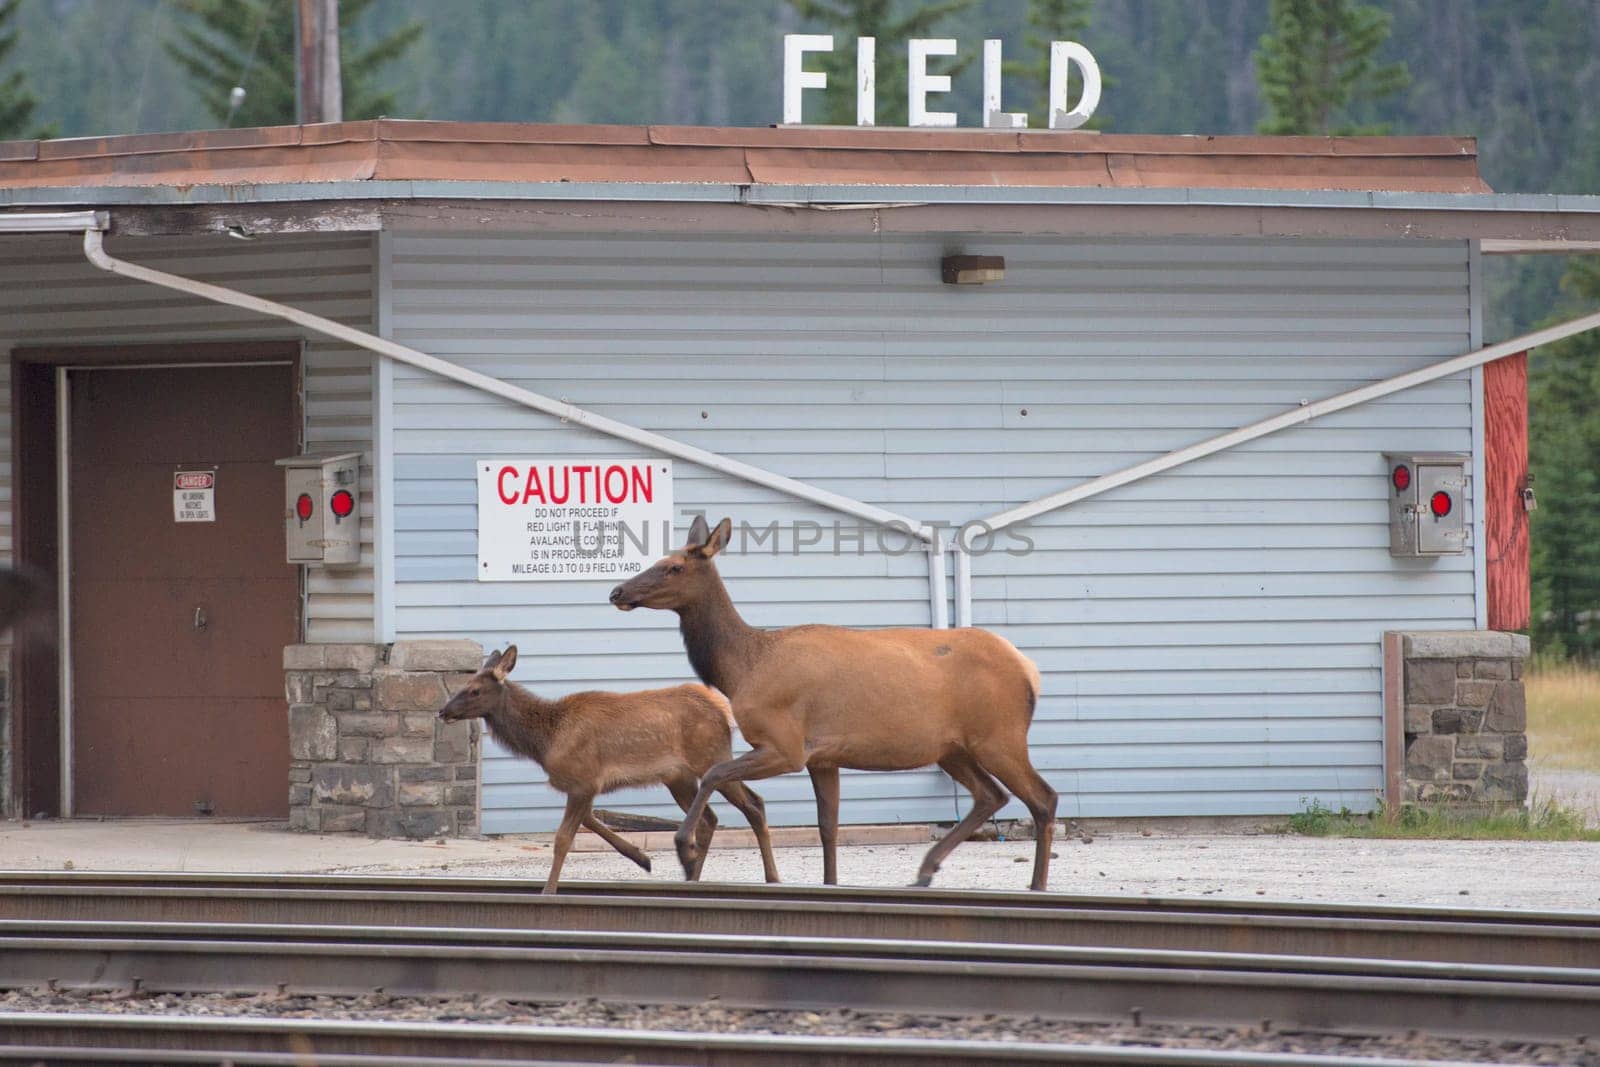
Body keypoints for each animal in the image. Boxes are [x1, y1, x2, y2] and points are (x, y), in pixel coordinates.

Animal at [441, 646, 784, 895]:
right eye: (463, 685)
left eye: (474, 690)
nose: (443, 711)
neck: (546, 740)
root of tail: (722, 710)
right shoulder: (586, 784)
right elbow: (591, 820)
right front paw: (642, 858)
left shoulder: (583, 779)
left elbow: (563, 839)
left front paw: (548, 892)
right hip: (679, 777)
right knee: (711, 818)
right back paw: (692, 877)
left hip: (710, 756)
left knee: (753, 804)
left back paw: (771, 877)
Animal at [604, 518, 1056, 895]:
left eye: (674, 567)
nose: (617, 592)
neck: (743, 668)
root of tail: (1030, 670)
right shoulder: (823, 756)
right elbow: (828, 827)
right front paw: (830, 883)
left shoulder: (786, 745)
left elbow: (715, 773)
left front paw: (684, 847)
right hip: (953, 748)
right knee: (991, 796)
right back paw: (926, 870)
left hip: (999, 736)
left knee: (1042, 797)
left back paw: (1035, 886)